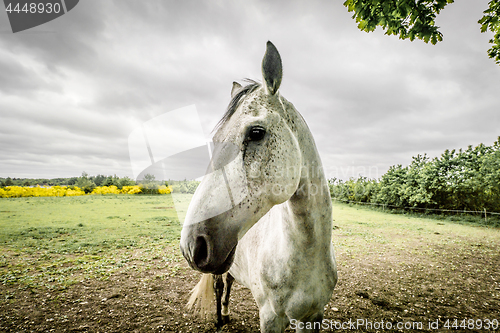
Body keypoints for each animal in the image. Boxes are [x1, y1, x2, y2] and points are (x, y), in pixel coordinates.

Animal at [179, 41, 336, 332]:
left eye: (256, 133)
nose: (191, 245)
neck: (305, 256)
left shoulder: (313, 317)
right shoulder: (270, 318)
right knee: (219, 286)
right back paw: (220, 318)